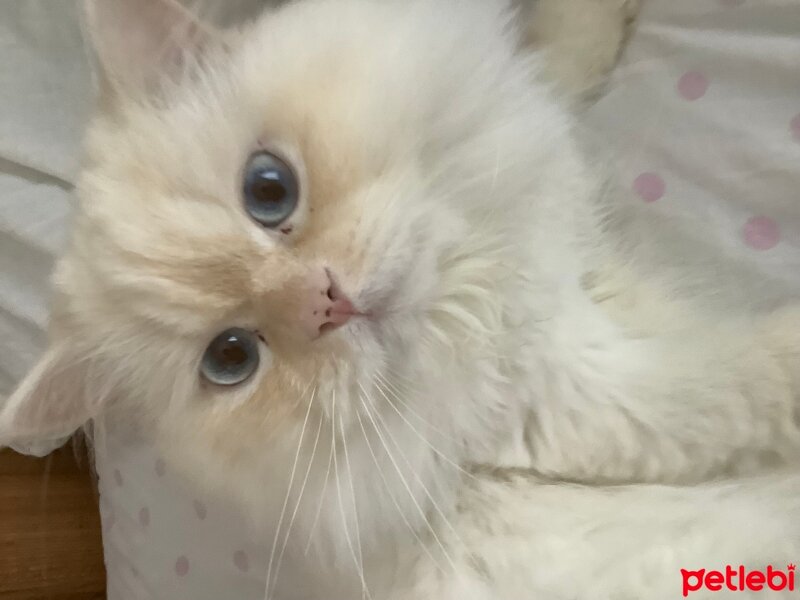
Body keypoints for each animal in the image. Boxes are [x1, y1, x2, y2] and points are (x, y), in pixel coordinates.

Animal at [1, 0, 800, 596]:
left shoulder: (536, 153)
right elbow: (743, 380)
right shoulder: (579, 392)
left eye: (268, 190)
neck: (467, 287)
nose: (326, 303)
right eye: (231, 359)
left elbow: (556, 57)